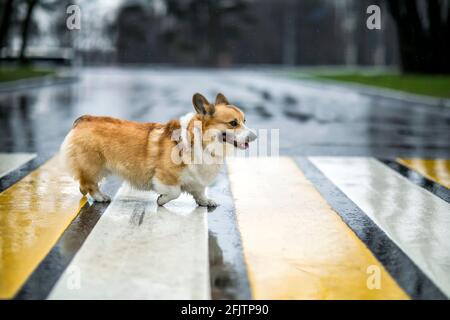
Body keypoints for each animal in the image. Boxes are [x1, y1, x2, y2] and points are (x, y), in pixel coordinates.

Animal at [61, 94, 256, 206]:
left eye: (244, 120)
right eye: (233, 123)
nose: (254, 137)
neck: (199, 142)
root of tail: (84, 119)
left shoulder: (198, 181)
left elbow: (199, 191)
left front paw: (205, 201)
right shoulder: (164, 176)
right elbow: (175, 192)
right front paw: (161, 200)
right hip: (94, 166)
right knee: (88, 184)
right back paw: (100, 197)